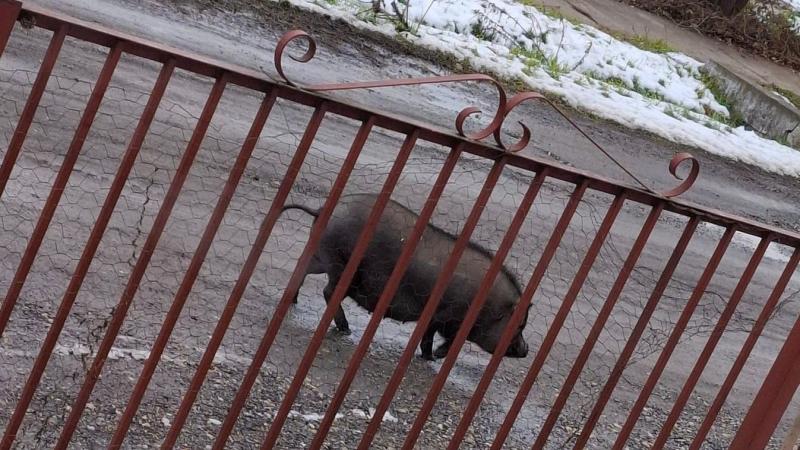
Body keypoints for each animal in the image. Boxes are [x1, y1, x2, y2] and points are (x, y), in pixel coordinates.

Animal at [282, 194, 532, 362]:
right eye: (520, 325)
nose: (526, 349)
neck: (489, 307)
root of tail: (323, 208)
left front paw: (432, 356)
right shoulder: (444, 316)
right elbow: (436, 338)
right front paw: (433, 357)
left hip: (322, 255)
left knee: (302, 269)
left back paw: (294, 300)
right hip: (340, 265)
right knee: (328, 291)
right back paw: (346, 329)